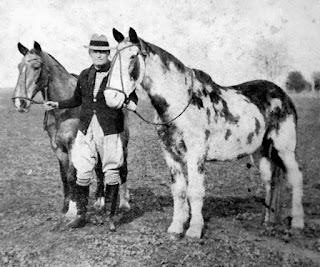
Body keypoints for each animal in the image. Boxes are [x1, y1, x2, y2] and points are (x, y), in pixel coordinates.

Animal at [107, 28, 304, 240]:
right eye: (112, 59)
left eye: (132, 56)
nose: (111, 97)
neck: (180, 100)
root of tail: (282, 94)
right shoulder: (169, 153)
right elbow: (179, 190)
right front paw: (176, 227)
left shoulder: (196, 153)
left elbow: (195, 190)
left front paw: (194, 230)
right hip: (261, 150)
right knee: (270, 181)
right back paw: (268, 222)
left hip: (284, 148)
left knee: (295, 177)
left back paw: (297, 223)